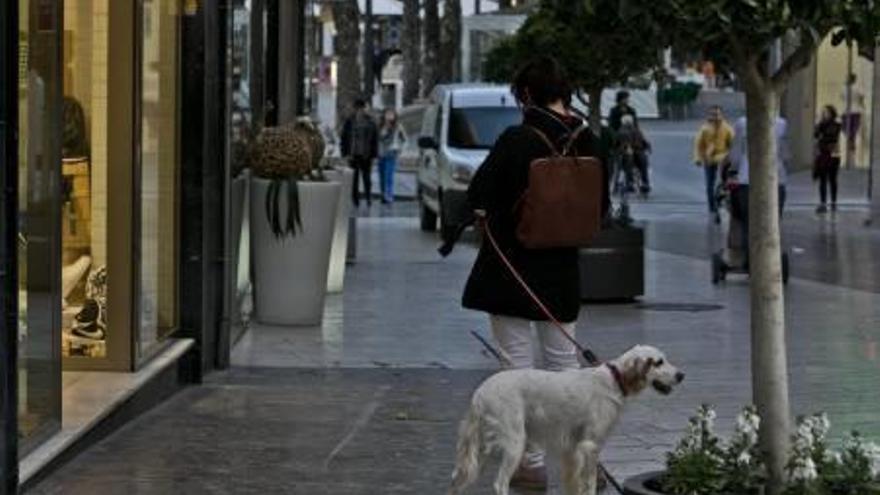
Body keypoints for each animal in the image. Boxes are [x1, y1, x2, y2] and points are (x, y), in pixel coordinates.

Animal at [450, 344, 684, 495]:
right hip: (514, 443)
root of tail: (480, 394)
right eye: (658, 362)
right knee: (499, 484)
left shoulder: (572, 449)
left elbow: (574, 484)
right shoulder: (590, 445)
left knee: (456, 480)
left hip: (480, 450)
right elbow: (589, 484)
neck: (614, 380)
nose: (681, 375)